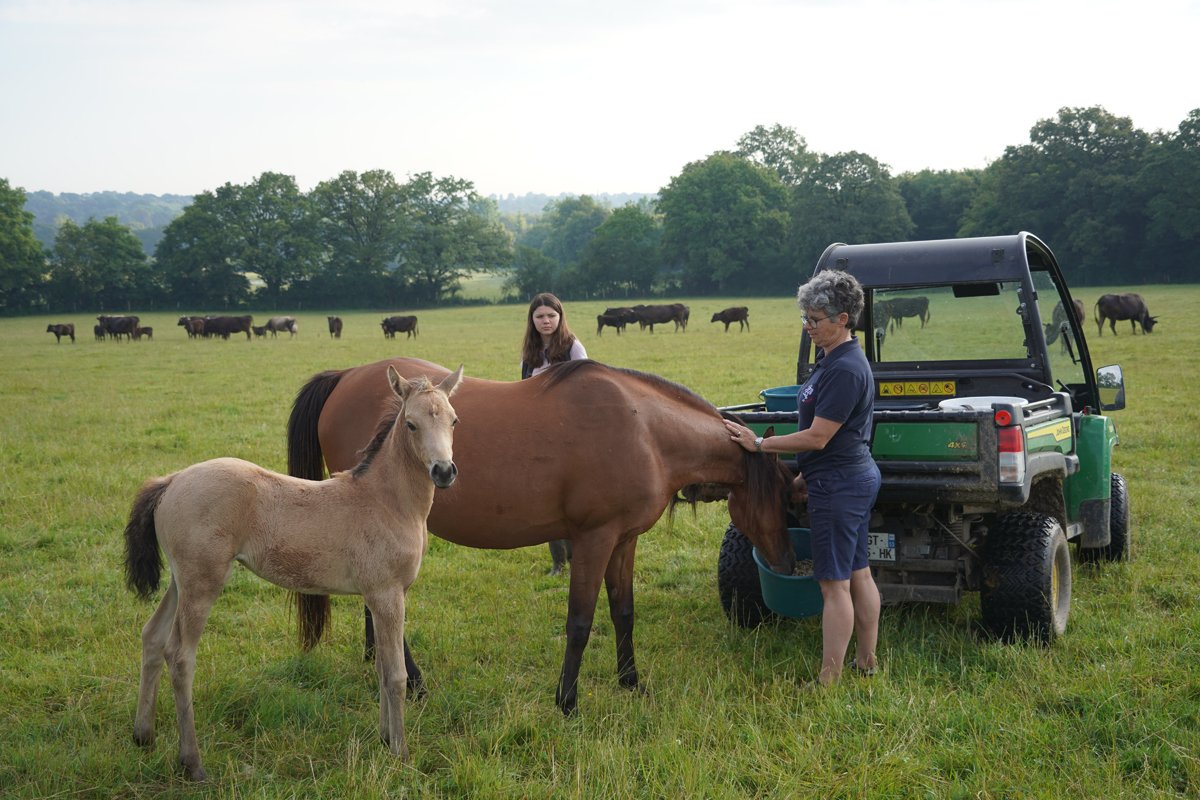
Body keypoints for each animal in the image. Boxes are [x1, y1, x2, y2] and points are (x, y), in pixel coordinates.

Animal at [124, 365, 463, 780]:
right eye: (412, 424)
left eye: (453, 420)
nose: (444, 471)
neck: (385, 501)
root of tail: (170, 480)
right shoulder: (386, 594)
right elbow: (396, 675)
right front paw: (400, 753)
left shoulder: (380, 596)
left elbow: (383, 669)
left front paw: (385, 739)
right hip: (202, 583)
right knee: (180, 655)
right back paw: (192, 762)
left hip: (179, 580)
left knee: (152, 637)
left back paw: (144, 735)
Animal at [286, 357, 796, 716]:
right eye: (789, 496)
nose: (786, 562)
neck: (644, 429)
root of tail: (345, 376)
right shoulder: (593, 540)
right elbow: (580, 622)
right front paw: (567, 702)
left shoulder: (624, 541)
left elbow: (624, 613)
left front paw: (631, 681)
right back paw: (415, 684)